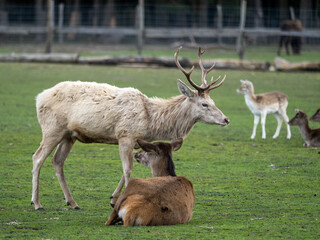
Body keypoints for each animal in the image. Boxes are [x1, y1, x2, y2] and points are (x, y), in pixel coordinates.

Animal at [31, 47, 229, 210]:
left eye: (213, 101)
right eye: (204, 104)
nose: (226, 119)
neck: (150, 120)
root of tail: (39, 97)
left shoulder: (135, 141)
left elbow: (125, 169)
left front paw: (113, 199)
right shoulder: (125, 134)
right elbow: (127, 170)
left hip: (69, 135)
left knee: (57, 161)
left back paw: (72, 202)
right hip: (52, 128)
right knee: (37, 157)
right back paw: (37, 203)